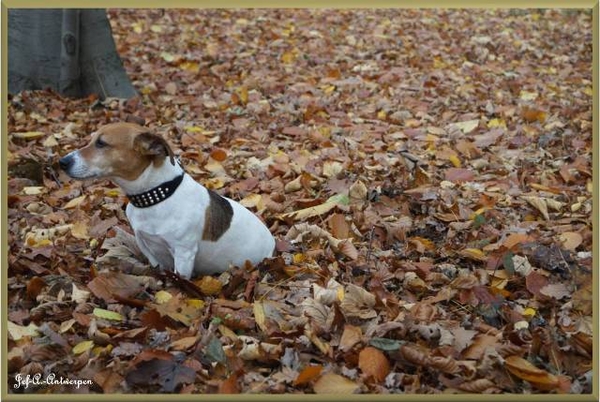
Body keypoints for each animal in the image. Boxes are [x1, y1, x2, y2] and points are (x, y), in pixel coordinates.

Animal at [59, 122, 276, 280]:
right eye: (92, 140)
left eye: (102, 143)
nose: (62, 162)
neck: (157, 196)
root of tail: (273, 243)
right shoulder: (146, 245)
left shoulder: (183, 254)